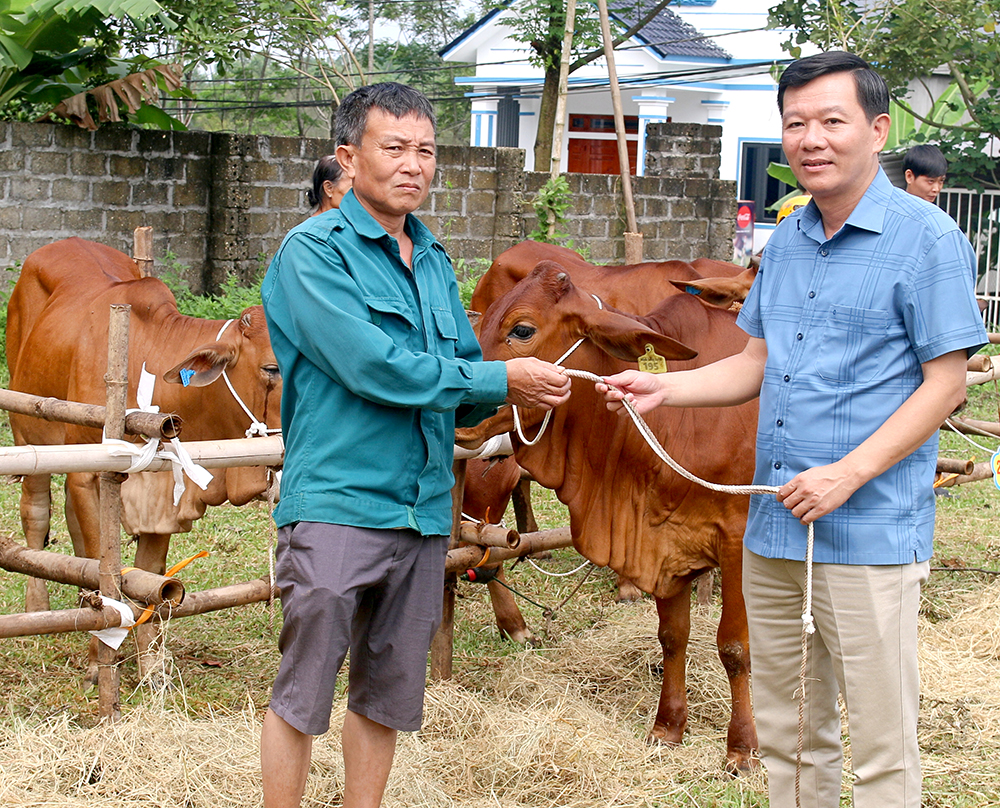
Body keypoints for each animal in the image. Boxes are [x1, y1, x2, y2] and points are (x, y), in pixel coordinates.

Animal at [7, 237, 282, 684]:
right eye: (272, 367)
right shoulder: (90, 477)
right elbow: (104, 568)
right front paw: (98, 660)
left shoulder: (163, 495)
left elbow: (150, 580)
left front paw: (151, 663)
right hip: (27, 430)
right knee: (37, 513)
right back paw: (38, 608)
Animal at [468, 262, 756, 772]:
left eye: (521, 329)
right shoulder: (665, 544)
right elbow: (673, 636)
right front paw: (667, 728)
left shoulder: (737, 541)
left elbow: (734, 646)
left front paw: (741, 749)